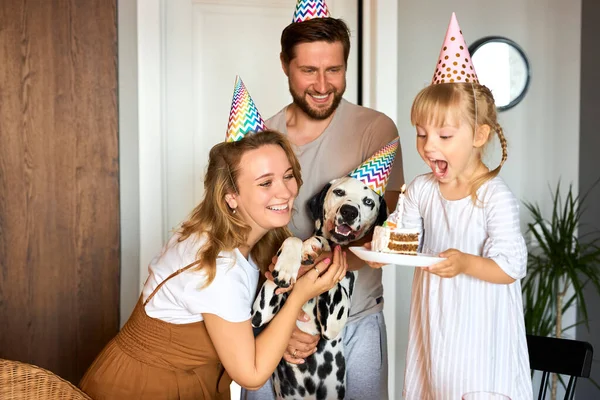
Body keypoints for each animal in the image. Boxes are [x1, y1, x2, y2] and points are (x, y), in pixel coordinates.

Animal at [250, 177, 386, 400]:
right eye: (339, 192)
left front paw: (315, 245)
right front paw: (288, 263)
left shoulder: (333, 321)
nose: (349, 211)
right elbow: (293, 241)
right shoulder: (259, 314)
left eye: (368, 201)